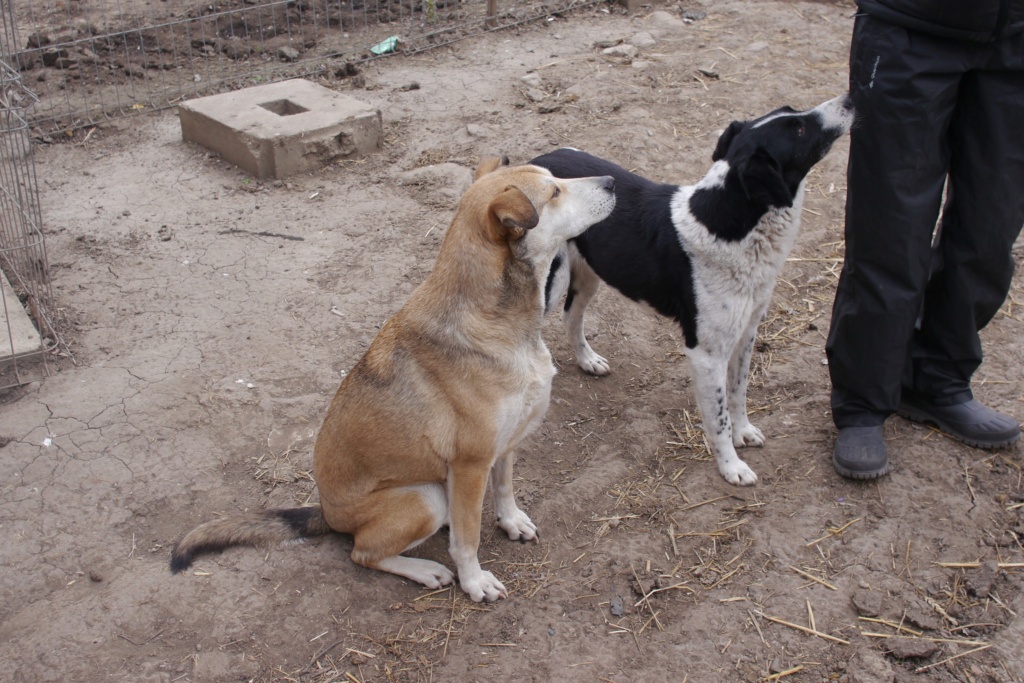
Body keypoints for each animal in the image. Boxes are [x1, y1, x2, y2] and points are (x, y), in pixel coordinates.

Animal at [171, 157, 610, 602]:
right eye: (554, 192)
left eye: (554, 180)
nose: (611, 181)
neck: (503, 323)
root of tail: (327, 514)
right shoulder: (471, 463)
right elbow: (468, 540)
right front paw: (475, 582)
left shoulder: (503, 446)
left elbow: (503, 489)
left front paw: (511, 521)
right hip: (424, 498)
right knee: (364, 552)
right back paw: (425, 570)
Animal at [536, 93, 856, 485]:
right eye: (798, 128)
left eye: (792, 113)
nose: (851, 98)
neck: (732, 225)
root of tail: (538, 161)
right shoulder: (705, 353)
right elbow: (718, 419)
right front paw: (731, 466)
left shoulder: (747, 331)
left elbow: (738, 392)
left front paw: (743, 431)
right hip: (552, 282)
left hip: (588, 275)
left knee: (572, 316)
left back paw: (587, 360)